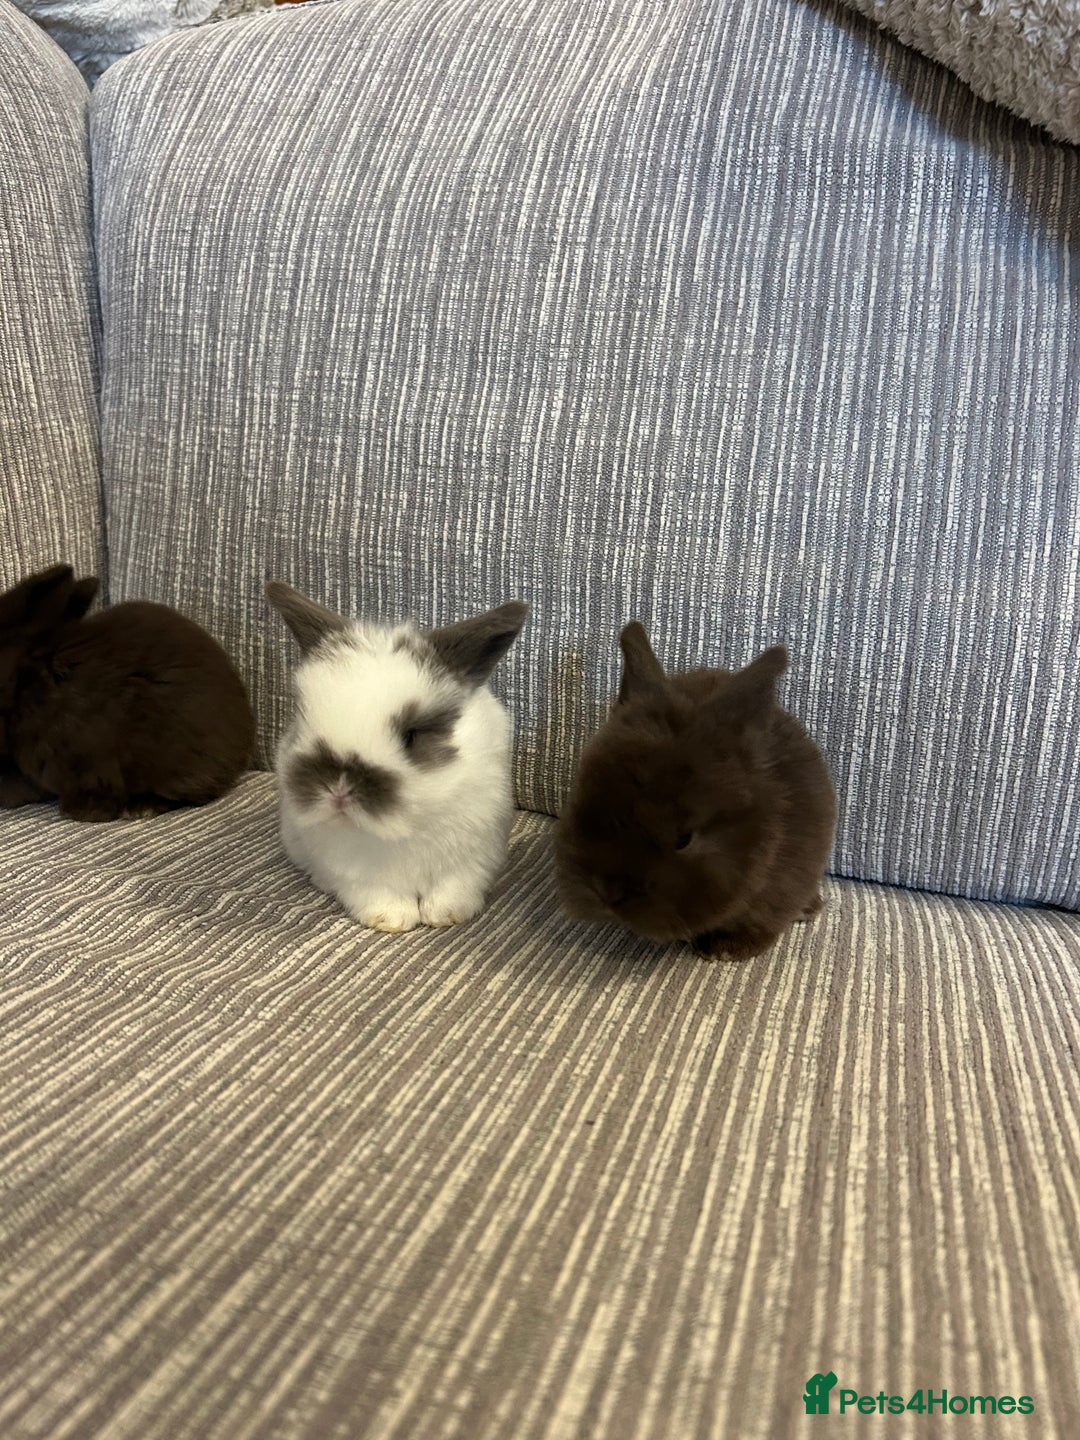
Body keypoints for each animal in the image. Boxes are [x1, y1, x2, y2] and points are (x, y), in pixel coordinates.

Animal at [266, 580, 528, 932]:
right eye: (304, 717)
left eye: (410, 735)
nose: (338, 790)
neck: (406, 826)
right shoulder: (351, 868)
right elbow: (375, 894)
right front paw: (393, 919)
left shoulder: (473, 856)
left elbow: (454, 887)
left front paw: (445, 915)